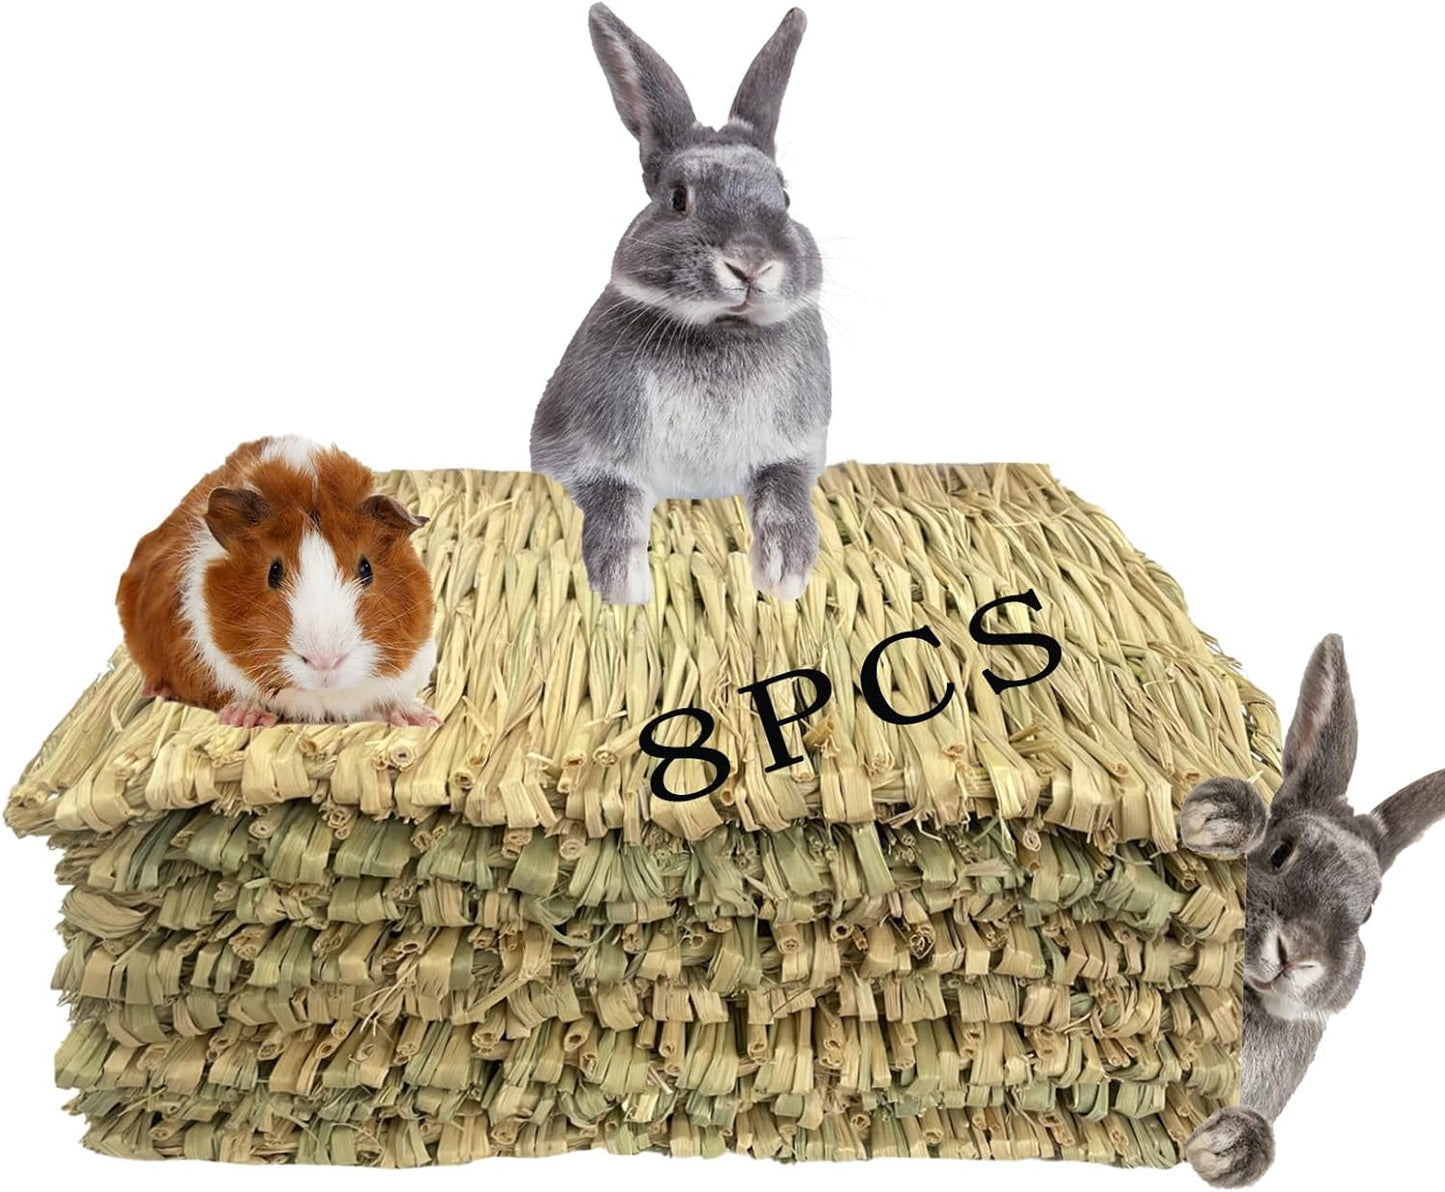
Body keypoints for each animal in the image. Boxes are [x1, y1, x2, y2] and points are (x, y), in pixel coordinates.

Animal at [530, 5, 830, 605]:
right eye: (677, 198)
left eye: (785, 198)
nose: (750, 263)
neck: (721, 331)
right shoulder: (583, 456)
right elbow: (615, 505)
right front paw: (622, 585)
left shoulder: (795, 452)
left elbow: (786, 496)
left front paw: (785, 574)